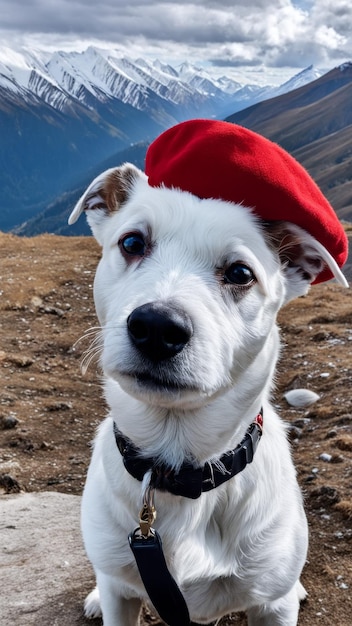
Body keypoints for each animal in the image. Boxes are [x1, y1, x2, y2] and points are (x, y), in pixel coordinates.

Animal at [69, 122, 350, 624]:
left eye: (240, 273)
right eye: (132, 243)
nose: (157, 327)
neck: (176, 463)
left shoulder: (272, 607)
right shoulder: (124, 593)